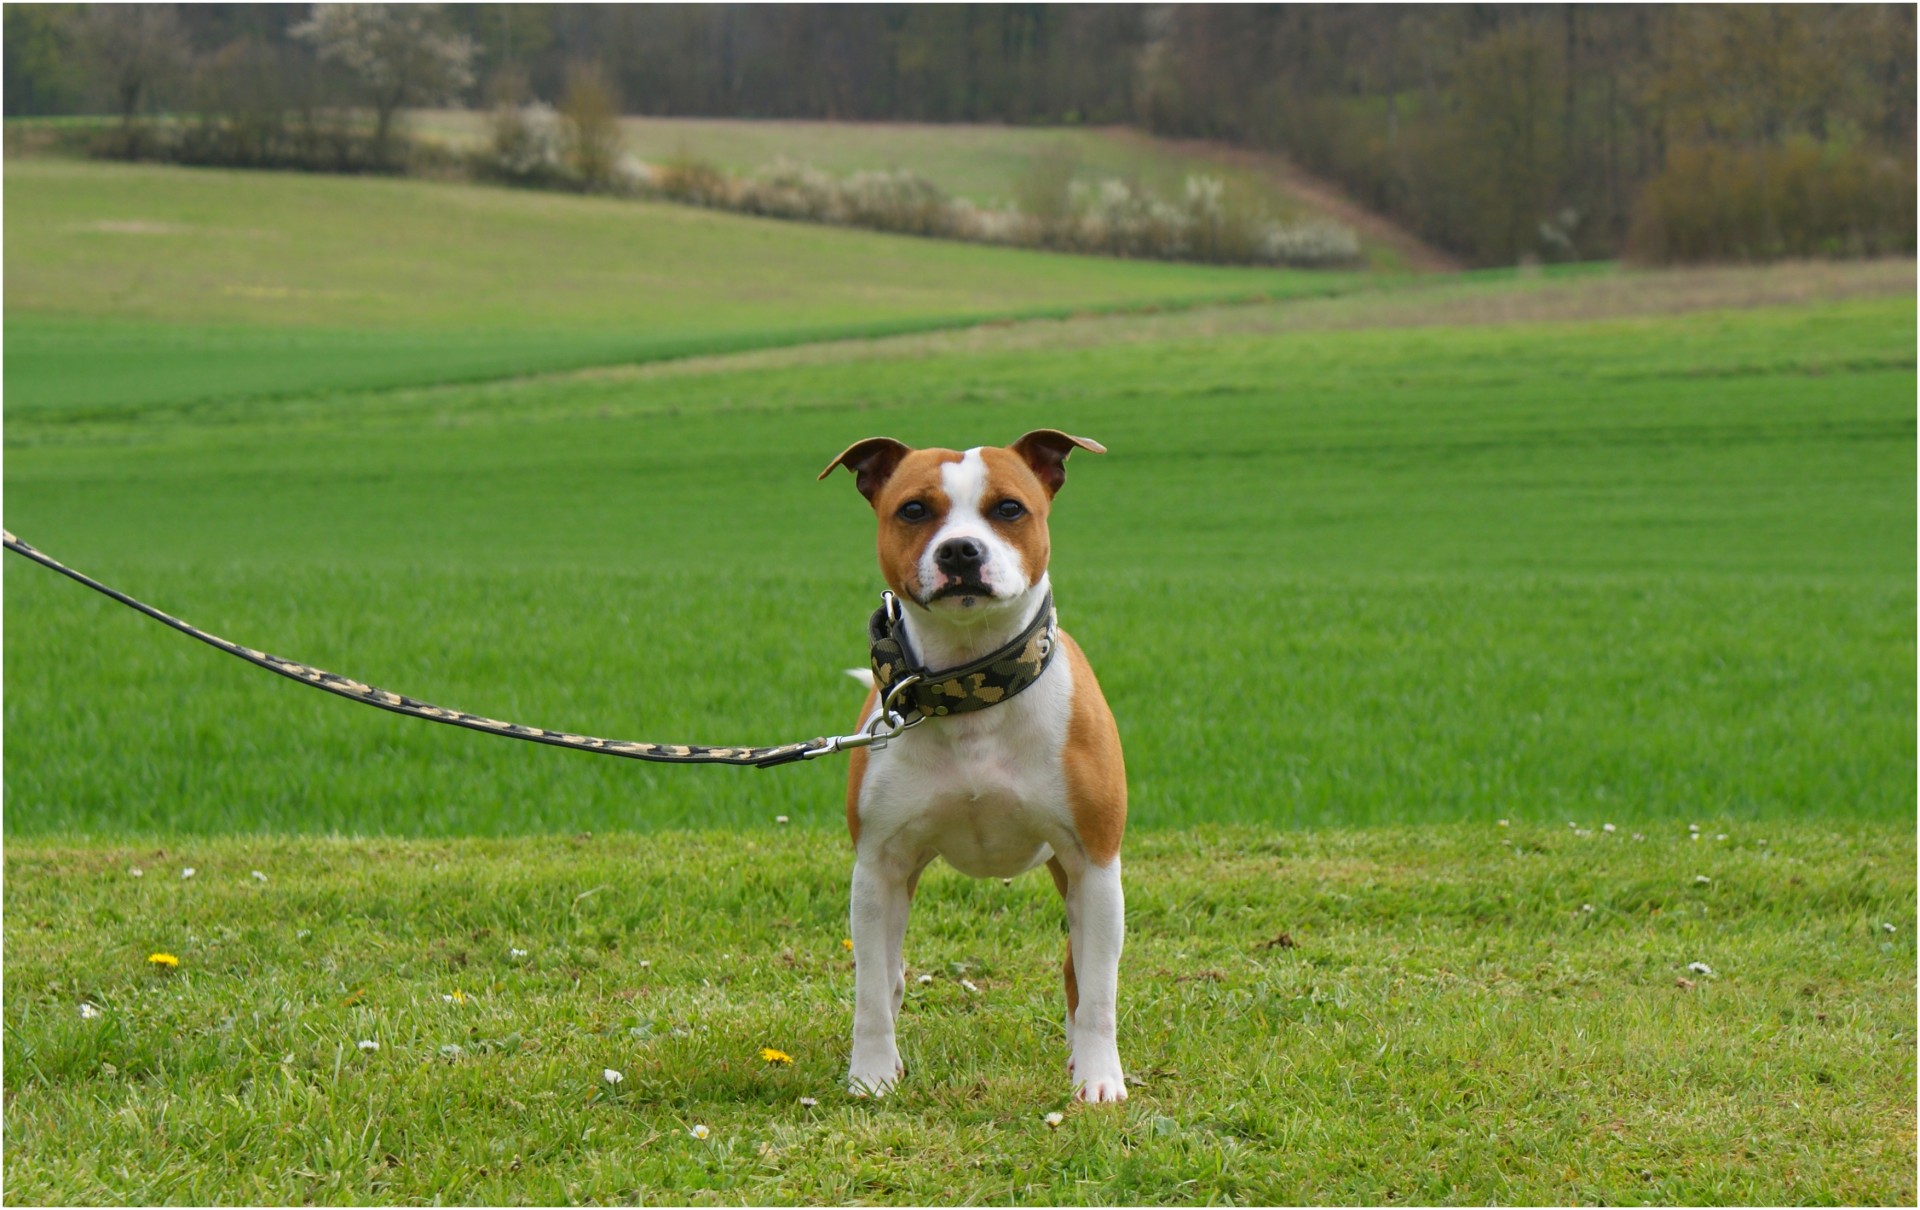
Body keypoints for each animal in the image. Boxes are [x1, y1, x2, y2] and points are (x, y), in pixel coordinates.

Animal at [821, 432, 1121, 1106]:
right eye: (913, 510)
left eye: (1009, 508)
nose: (960, 550)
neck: (971, 690)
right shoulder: (877, 868)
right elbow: (870, 990)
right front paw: (871, 1075)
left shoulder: (1095, 861)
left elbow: (1098, 993)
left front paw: (1099, 1081)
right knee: (890, 971)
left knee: (1077, 972)